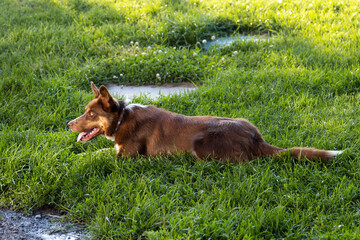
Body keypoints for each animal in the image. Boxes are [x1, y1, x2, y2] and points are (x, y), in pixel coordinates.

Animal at [68, 81, 344, 162]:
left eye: (90, 115)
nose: (69, 124)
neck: (122, 118)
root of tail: (256, 138)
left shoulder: (127, 156)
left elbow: (99, 155)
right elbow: (98, 150)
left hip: (201, 144)